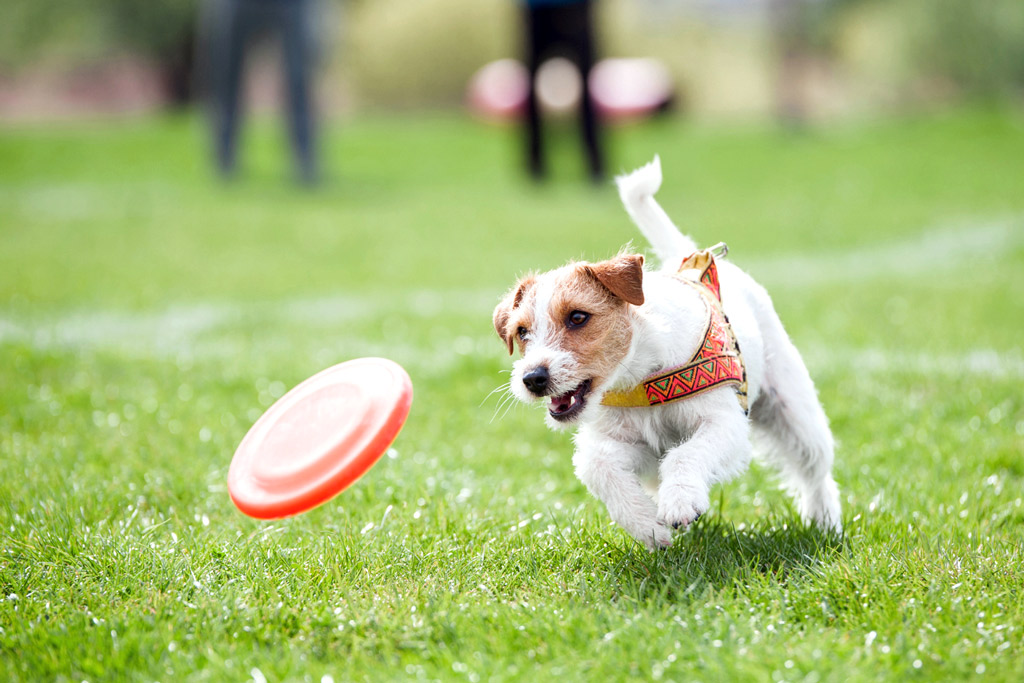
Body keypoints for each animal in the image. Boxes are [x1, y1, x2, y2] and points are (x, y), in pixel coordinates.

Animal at [493, 156, 839, 548]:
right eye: (521, 332)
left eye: (578, 317)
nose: (532, 378)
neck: (641, 376)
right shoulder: (628, 443)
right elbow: (598, 466)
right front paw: (648, 525)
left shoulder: (724, 423)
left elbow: (686, 454)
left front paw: (680, 502)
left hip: (796, 413)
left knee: (816, 471)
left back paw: (825, 521)